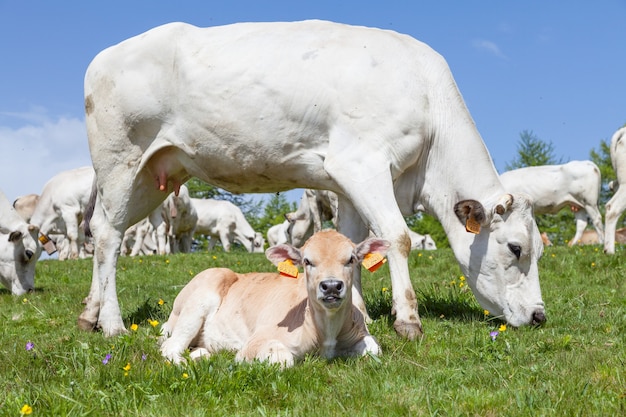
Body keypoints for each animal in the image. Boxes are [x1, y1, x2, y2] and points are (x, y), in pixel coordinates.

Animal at [81, 20, 540, 338]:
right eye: (515, 248)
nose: (540, 315)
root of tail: (105, 55)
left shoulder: (350, 183)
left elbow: (355, 242)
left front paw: (360, 310)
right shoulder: (362, 163)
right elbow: (398, 236)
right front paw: (407, 319)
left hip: (152, 173)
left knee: (105, 232)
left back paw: (89, 313)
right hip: (120, 160)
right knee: (107, 237)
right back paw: (113, 323)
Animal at [158, 229, 388, 366]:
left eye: (351, 259)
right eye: (307, 261)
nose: (331, 286)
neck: (326, 332)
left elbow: (374, 348)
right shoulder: (256, 341)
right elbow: (283, 358)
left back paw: (202, 354)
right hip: (197, 303)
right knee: (169, 346)